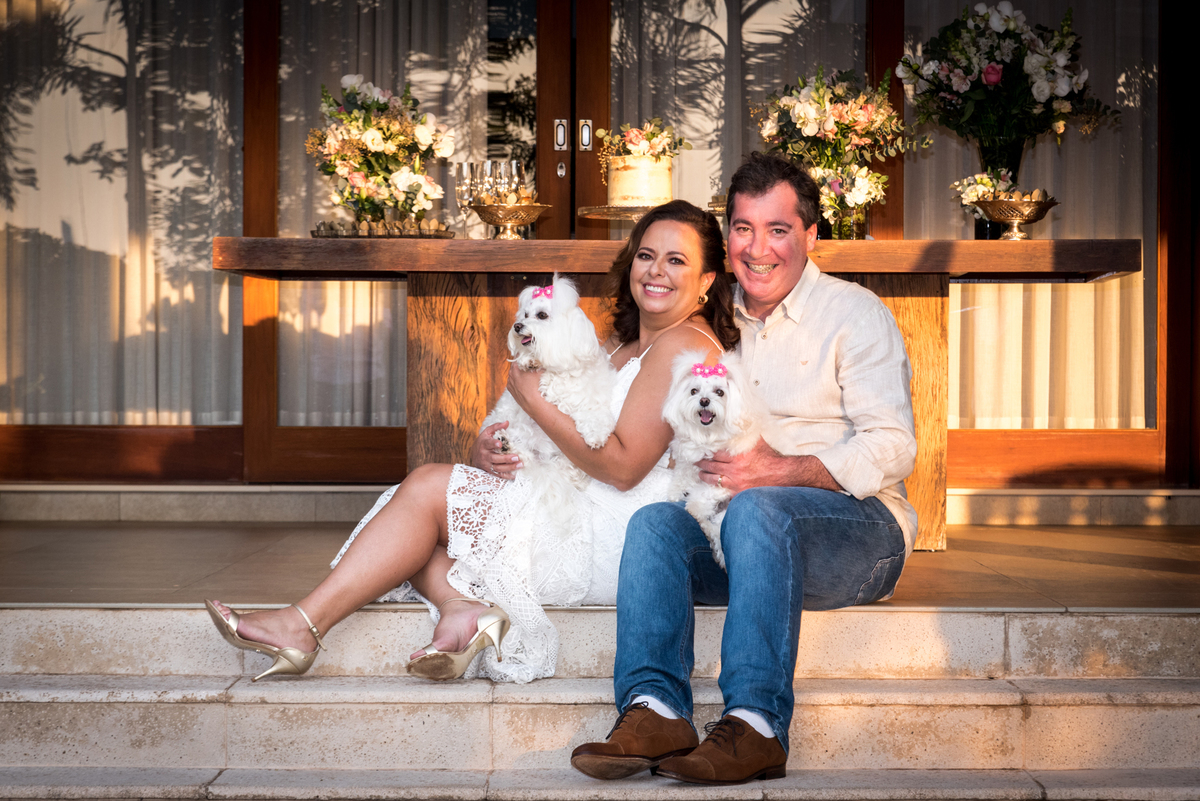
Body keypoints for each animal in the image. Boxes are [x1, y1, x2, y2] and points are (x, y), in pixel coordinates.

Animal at [482, 275, 616, 500]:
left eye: (542, 315)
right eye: (525, 314)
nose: (517, 325)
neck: (560, 368)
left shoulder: (591, 397)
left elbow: (595, 415)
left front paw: (596, 436)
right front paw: (530, 361)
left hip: (568, 458)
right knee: (522, 457)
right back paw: (505, 444)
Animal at [662, 349, 767, 570]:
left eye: (719, 392)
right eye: (694, 391)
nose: (704, 401)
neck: (709, 435)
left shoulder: (724, 477)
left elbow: (702, 497)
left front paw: (693, 506)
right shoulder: (689, 457)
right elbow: (683, 473)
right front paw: (676, 492)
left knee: (716, 528)